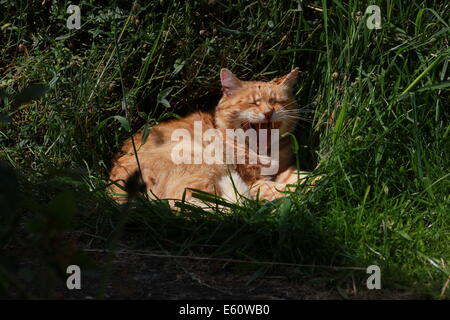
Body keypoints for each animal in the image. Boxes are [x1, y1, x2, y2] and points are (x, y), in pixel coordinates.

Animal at [109, 69, 310, 206]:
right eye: (253, 102)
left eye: (276, 102)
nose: (268, 113)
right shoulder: (254, 182)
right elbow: (282, 190)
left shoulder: (284, 169)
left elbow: (300, 176)